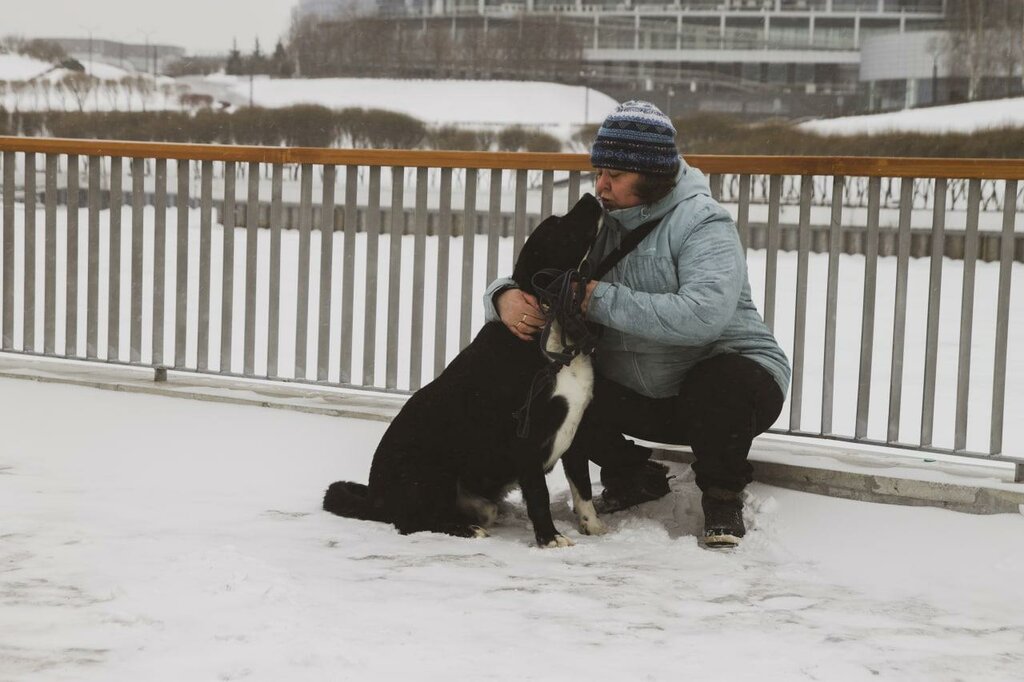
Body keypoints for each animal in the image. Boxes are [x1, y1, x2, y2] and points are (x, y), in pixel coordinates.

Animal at [323, 193, 602, 544]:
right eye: (560, 226)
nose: (590, 196)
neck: (552, 330)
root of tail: (375, 497)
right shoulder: (524, 437)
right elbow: (539, 494)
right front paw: (549, 538)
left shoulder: (578, 428)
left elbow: (583, 484)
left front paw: (592, 525)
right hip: (430, 470)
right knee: (410, 522)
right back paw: (465, 528)